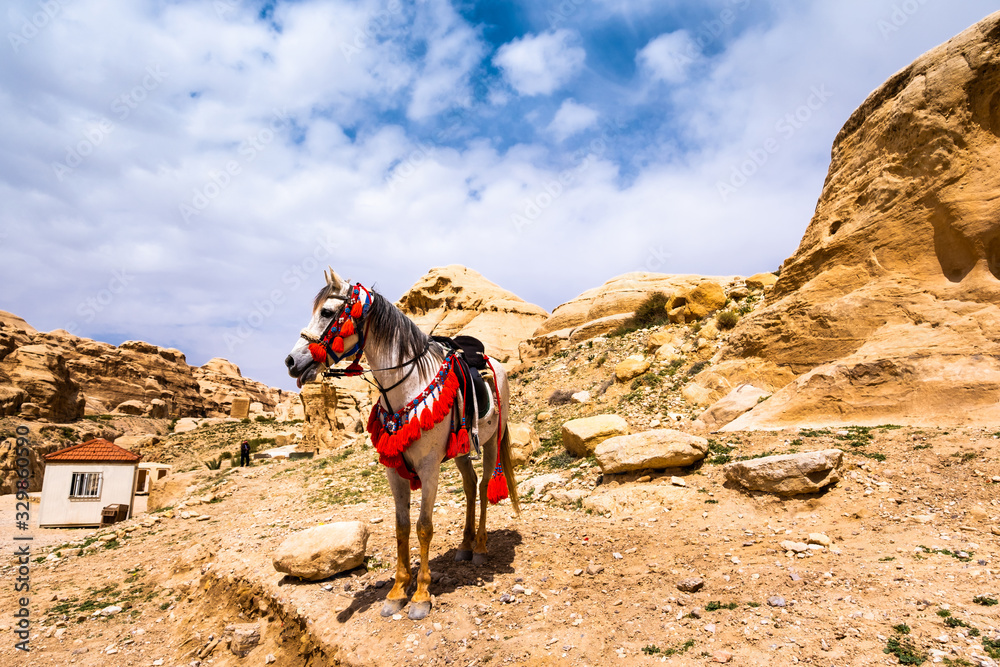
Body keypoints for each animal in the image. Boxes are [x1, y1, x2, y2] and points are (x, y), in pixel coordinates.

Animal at [284, 268, 520, 620]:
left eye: (326, 312)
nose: (291, 361)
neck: (406, 387)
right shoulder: (394, 469)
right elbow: (402, 527)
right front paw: (397, 591)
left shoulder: (429, 468)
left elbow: (423, 527)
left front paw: (421, 595)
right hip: (461, 451)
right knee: (470, 485)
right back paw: (464, 546)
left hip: (491, 442)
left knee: (482, 488)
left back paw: (478, 547)